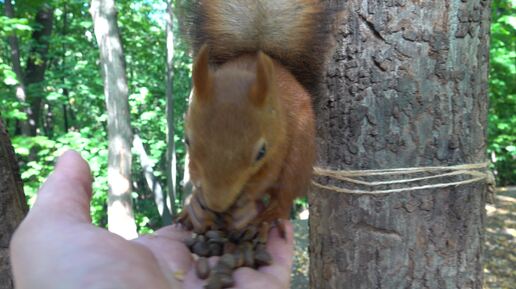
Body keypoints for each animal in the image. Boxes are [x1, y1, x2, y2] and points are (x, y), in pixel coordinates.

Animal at [180, 0, 334, 231]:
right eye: (187, 141)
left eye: (261, 152)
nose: (217, 204)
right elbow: (194, 171)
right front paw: (195, 207)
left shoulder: (280, 139)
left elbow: (268, 177)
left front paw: (245, 206)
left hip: (301, 153)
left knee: (286, 191)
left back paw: (271, 215)